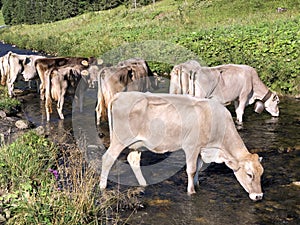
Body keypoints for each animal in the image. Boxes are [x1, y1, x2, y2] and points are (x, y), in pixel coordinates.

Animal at [99, 92, 264, 201]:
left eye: (261, 174)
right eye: (250, 174)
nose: (259, 196)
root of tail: (120, 95)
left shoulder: (202, 150)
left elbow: (198, 167)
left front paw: (197, 185)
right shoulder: (192, 147)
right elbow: (191, 169)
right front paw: (191, 191)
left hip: (137, 143)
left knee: (133, 159)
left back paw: (143, 184)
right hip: (120, 139)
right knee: (107, 159)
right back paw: (102, 186)